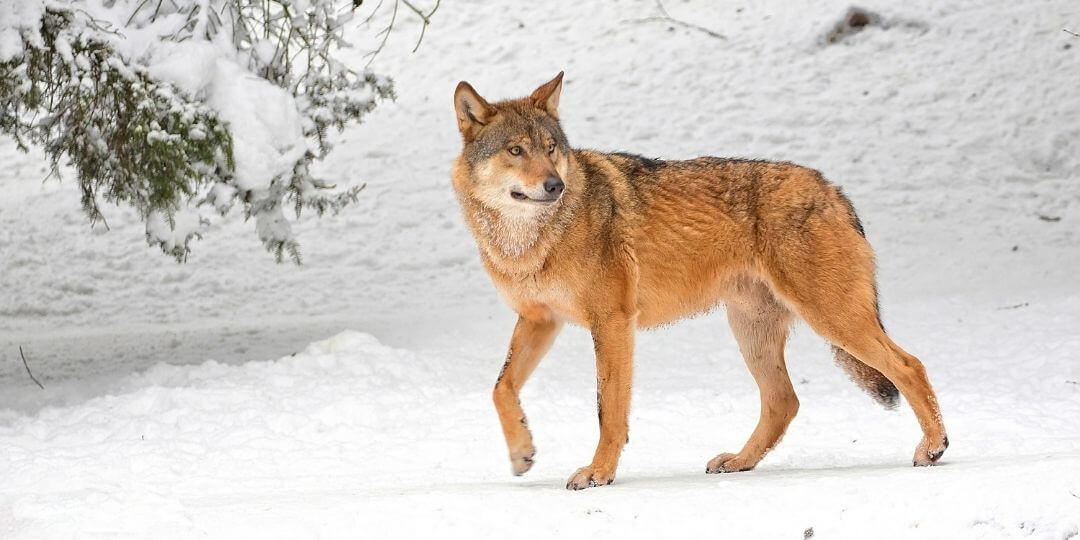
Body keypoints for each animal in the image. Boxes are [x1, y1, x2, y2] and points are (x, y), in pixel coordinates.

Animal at [450, 72, 948, 490]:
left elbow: (608, 410)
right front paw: (522, 453)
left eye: (551, 147)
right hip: (752, 332)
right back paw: (739, 462)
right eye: (516, 151)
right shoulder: (540, 320)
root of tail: (834, 190)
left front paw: (598, 472)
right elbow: (500, 388)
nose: (554, 185)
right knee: (784, 402)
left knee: (910, 365)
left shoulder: (612, 322)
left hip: (832, 320)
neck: (531, 240)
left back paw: (934, 447)